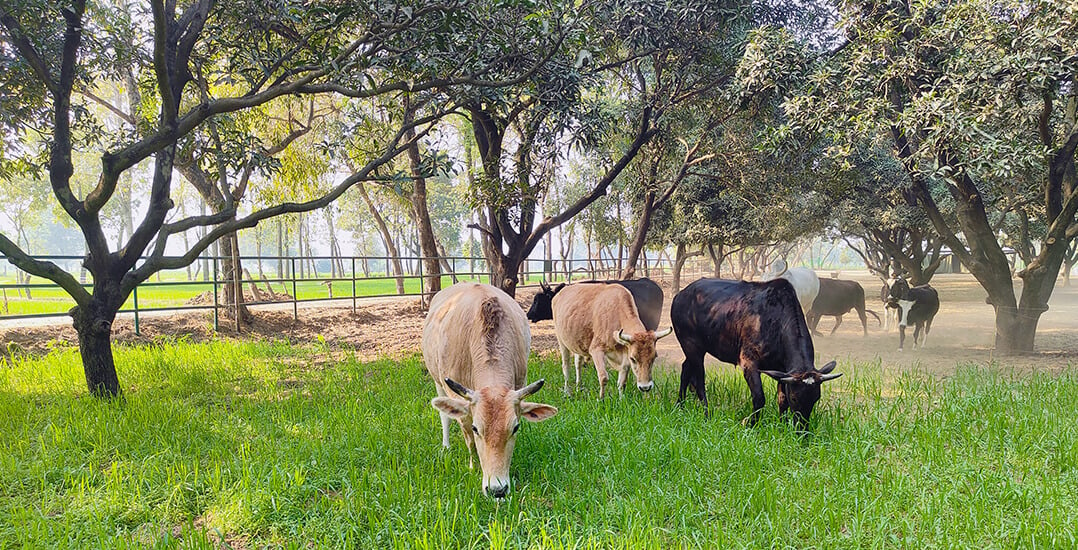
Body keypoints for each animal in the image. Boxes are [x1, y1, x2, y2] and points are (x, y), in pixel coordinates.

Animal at [420, 282, 556, 498]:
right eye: (477, 428)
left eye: (515, 427)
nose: (497, 490)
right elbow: (468, 438)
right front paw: (473, 466)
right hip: (438, 382)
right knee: (444, 416)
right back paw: (446, 445)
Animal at [672, 276, 840, 427]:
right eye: (794, 398)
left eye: (816, 398)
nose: (802, 430)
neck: (777, 323)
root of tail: (680, 295)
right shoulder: (749, 362)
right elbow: (759, 397)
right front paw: (750, 423)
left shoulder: (783, 370)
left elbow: (781, 399)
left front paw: (782, 424)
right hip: (692, 346)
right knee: (699, 381)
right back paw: (706, 413)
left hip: (695, 349)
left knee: (685, 370)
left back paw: (680, 405)